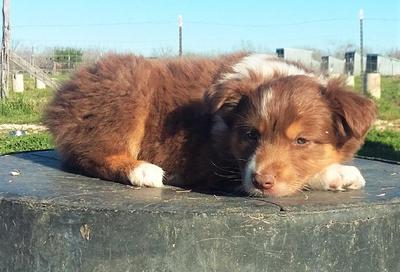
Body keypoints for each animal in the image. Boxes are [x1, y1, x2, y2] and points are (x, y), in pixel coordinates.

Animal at [45, 53, 376, 197]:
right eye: (250, 134)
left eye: (302, 141)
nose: (261, 181)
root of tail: (65, 91)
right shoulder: (215, 166)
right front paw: (339, 173)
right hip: (127, 91)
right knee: (89, 154)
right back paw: (143, 170)